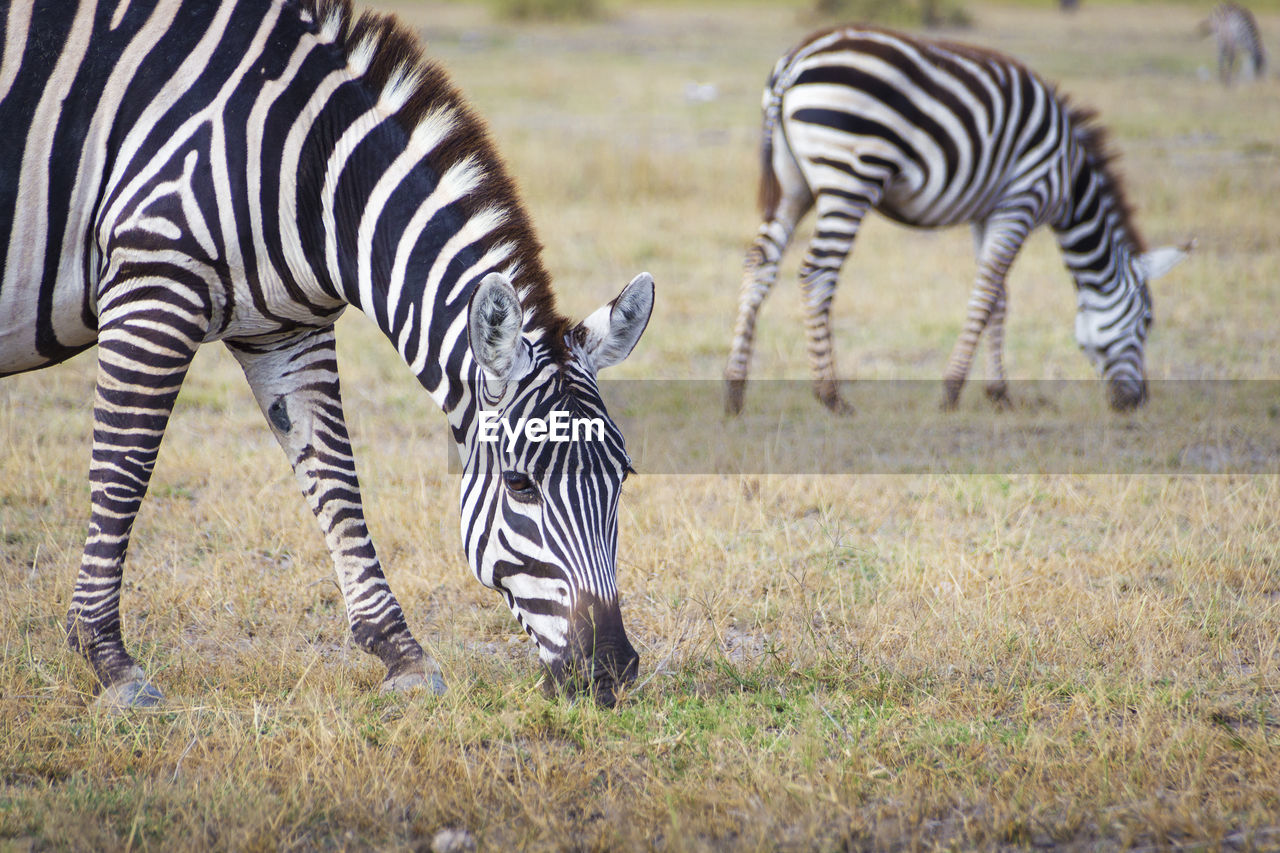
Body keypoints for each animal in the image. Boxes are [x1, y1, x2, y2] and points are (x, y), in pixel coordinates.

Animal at [0, 0, 655, 701]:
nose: (613, 671)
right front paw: (108, 659)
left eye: (623, 476)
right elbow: (123, 473)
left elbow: (335, 482)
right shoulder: (152, 283)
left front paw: (403, 656)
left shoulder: (286, 330)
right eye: (520, 484)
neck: (303, 164)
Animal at [727, 24, 1192, 414]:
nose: (1137, 402)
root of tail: (797, 57)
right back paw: (831, 396)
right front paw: (951, 391)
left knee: (759, 263)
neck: (1071, 180)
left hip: (793, 186)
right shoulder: (1022, 200)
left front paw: (998, 392)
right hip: (850, 177)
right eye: (1147, 321)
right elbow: (986, 294)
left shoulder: (988, 211)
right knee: (817, 275)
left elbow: (1000, 298)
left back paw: (735, 389)